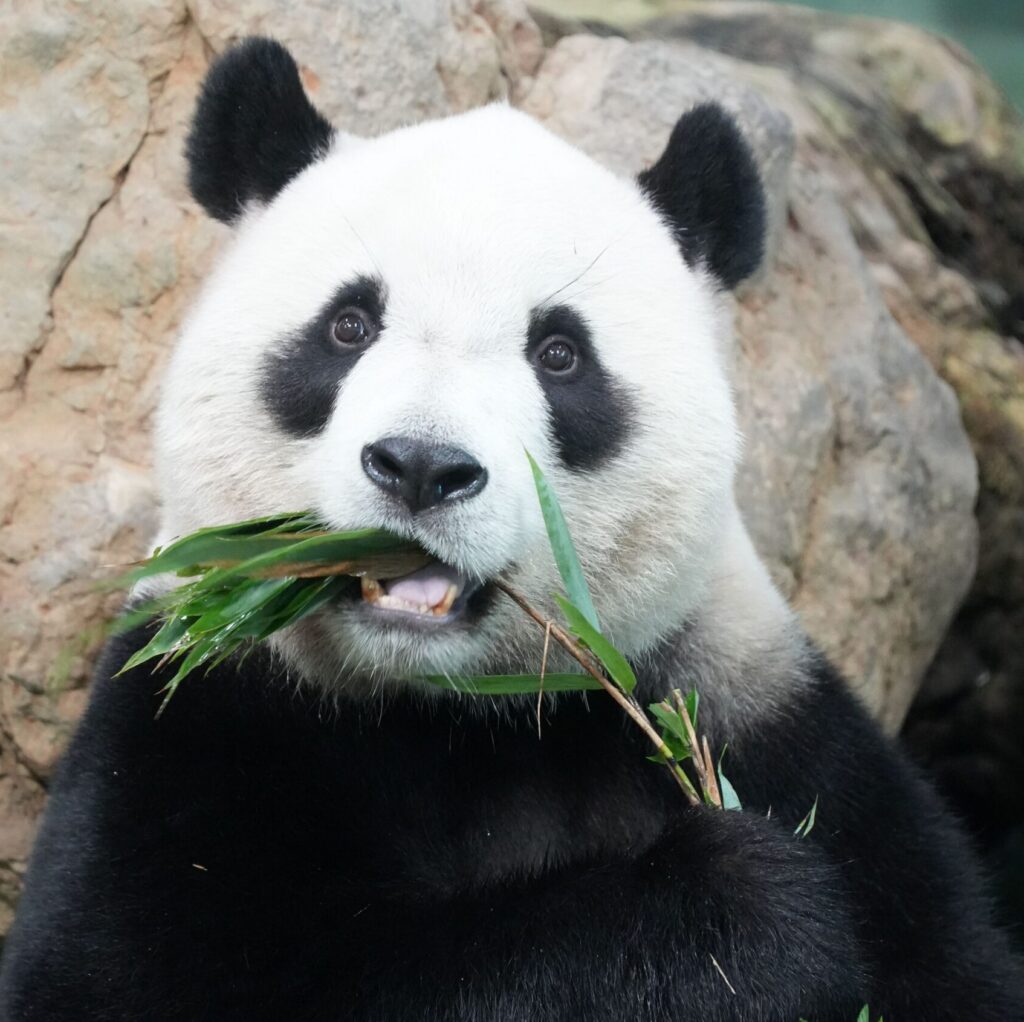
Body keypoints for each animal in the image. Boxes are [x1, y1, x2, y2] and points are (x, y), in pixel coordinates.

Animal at [1, 37, 1021, 1022]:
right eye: (348, 326)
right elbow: (149, 977)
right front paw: (739, 916)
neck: (460, 711)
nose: (420, 465)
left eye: (560, 354)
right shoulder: (201, 719)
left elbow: (939, 952)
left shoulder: (770, 732)